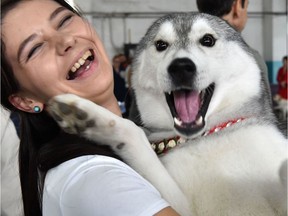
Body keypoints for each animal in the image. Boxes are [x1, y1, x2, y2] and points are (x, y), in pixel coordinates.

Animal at [48, 12, 286, 215]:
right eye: (161, 45)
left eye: (208, 40)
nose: (181, 66)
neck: (204, 139)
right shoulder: (182, 205)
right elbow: (134, 133)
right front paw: (87, 115)